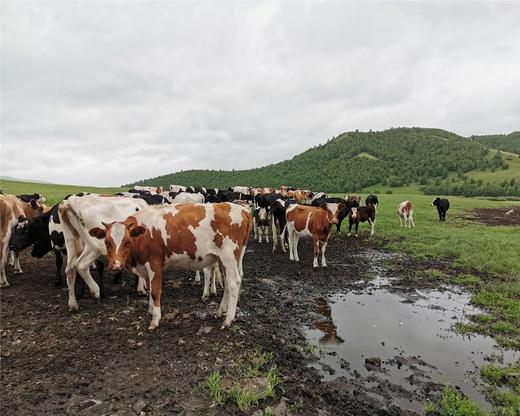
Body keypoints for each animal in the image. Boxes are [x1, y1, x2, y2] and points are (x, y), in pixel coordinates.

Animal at [87, 203, 252, 330]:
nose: (116, 265)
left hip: (228, 255)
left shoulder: (154, 264)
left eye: (127, 242)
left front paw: (155, 320)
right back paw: (220, 312)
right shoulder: (145, 267)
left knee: (234, 282)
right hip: (228, 259)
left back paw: (228, 320)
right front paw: (150, 310)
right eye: (107, 242)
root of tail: (241, 208)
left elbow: (155, 291)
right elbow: (149, 288)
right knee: (230, 281)